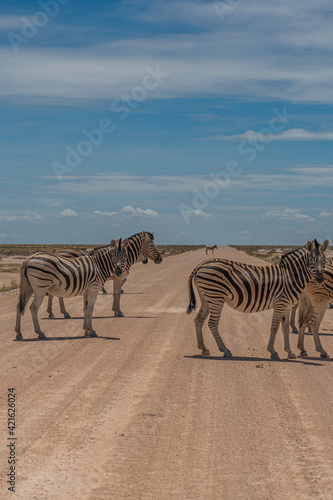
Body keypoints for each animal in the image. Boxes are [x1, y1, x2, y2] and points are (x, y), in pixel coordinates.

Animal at [185, 239, 328, 360]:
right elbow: (274, 327)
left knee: (198, 320)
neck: (290, 277)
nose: (321, 279)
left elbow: (285, 328)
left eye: (325, 260)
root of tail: (201, 264)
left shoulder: (287, 306)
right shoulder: (280, 304)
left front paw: (290, 352)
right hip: (216, 297)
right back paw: (225, 350)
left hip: (207, 297)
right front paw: (273, 352)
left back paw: (203, 348)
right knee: (212, 324)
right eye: (311, 260)